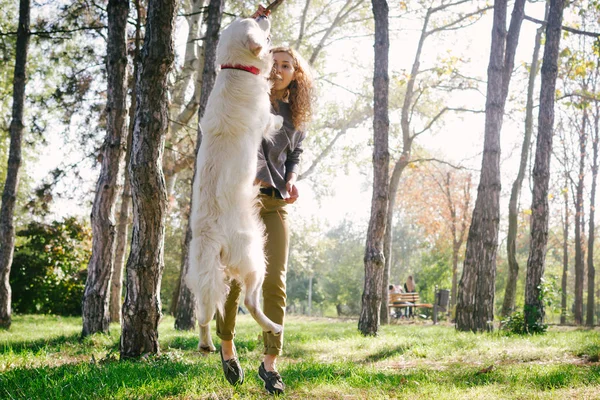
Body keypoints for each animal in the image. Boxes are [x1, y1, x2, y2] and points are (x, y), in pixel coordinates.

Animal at [185, 16, 284, 354]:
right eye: (255, 22)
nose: (264, 13)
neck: (235, 70)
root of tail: (210, 234)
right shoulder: (265, 119)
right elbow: (273, 120)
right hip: (255, 257)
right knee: (251, 303)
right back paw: (273, 326)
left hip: (202, 274)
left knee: (203, 312)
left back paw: (205, 344)